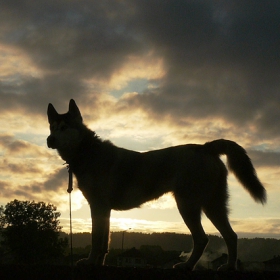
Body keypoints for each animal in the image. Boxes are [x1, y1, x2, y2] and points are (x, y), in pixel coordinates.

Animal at [47, 99, 266, 270]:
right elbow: (104, 243)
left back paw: (187, 265)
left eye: (64, 127)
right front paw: (98, 263)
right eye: (51, 127)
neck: (87, 152)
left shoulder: (98, 206)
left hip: (188, 205)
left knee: (203, 238)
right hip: (212, 205)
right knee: (231, 235)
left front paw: (89, 261)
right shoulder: (104, 209)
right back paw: (228, 267)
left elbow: (96, 240)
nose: (49, 139)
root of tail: (205, 147)